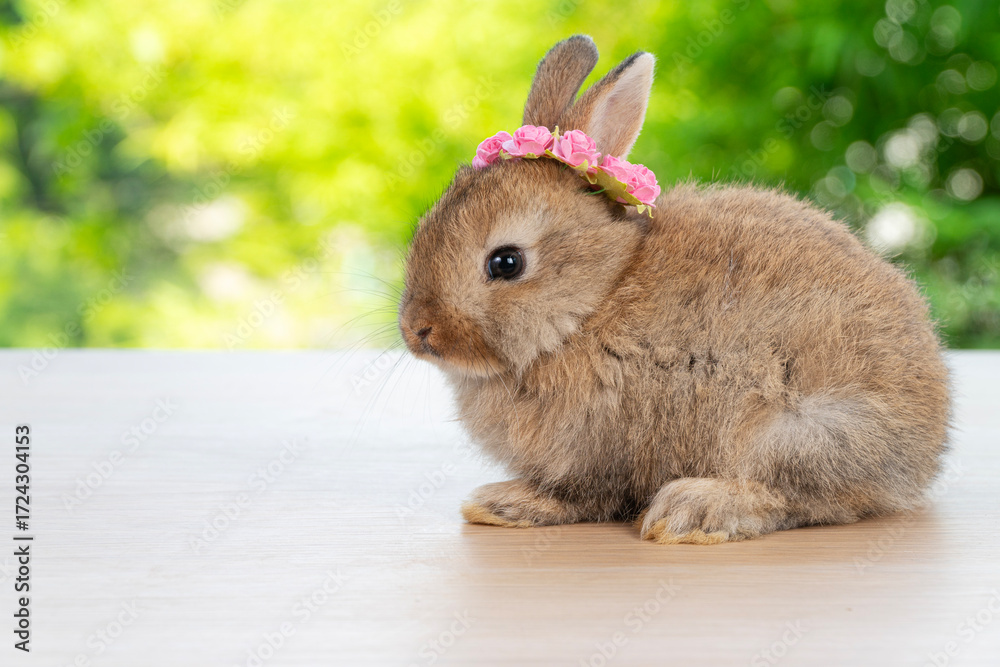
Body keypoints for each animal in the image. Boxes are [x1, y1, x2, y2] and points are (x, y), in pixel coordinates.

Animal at [397, 34, 951, 544]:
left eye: (506, 262)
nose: (417, 332)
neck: (592, 301)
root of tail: (925, 448)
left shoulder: (603, 449)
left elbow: (583, 496)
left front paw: (507, 504)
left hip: (796, 430)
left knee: (790, 497)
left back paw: (692, 512)